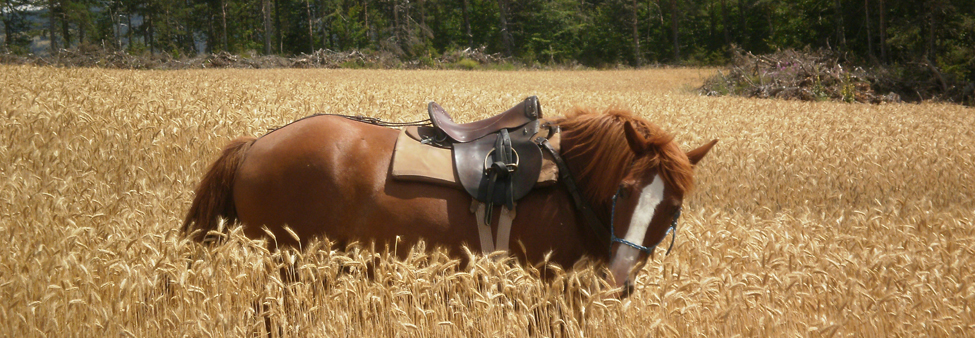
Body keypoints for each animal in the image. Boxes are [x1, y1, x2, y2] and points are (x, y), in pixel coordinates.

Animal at [183, 107, 716, 292]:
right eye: (623, 192)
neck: (566, 182)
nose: (621, 276)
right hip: (287, 258)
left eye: (672, 207)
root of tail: (257, 143)